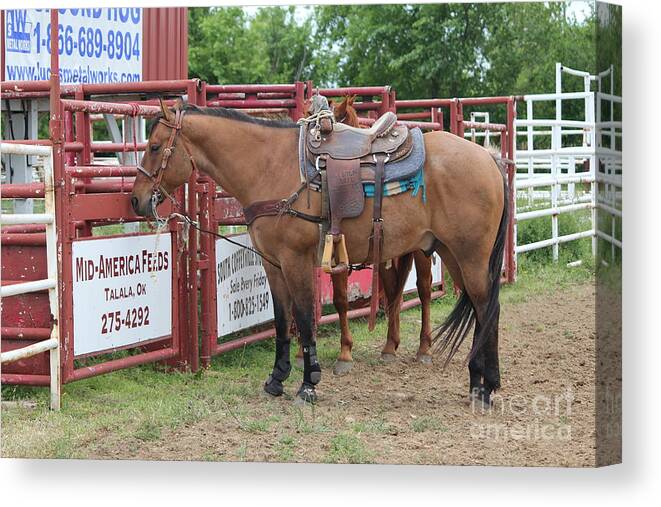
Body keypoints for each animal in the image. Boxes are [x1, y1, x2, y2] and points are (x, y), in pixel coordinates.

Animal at [131, 99, 508, 406]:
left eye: (154, 146)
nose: (136, 200)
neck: (270, 166)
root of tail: (488, 159)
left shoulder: (295, 260)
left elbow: (303, 317)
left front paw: (308, 385)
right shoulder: (273, 264)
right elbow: (282, 320)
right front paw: (276, 380)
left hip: (470, 257)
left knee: (486, 307)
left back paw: (484, 387)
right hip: (453, 255)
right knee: (482, 309)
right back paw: (480, 383)